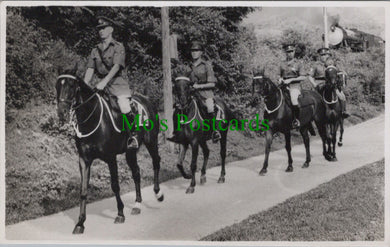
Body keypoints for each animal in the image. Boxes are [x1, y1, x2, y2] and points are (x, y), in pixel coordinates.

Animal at [56, 69, 163, 233]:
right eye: (57, 86)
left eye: (71, 85)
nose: (61, 112)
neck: (93, 119)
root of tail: (146, 99)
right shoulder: (84, 160)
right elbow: (83, 190)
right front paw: (80, 223)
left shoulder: (111, 158)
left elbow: (115, 185)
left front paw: (120, 214)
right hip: (130, 152)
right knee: (136, 173)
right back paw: (137, 204)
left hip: (151, 142)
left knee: (156, 162)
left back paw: (158, 194)